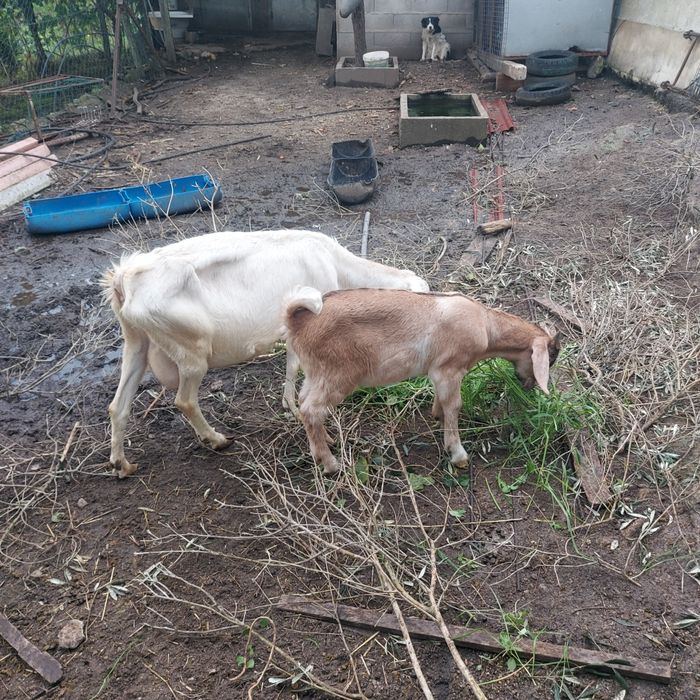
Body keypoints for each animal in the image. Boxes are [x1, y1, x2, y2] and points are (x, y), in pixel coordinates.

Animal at [103, 230, 428, 477]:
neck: (335, 263)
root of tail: (124, 278)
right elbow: (296, 367)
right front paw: (298, 410)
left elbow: (291, 367)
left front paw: (290, 406)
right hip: (191, 351)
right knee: (184, 400)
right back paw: (217, 439)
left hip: (137, 342)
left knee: (118, 406)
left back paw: (122, 464)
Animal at [284, 287, 560, 475]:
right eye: (550, 359)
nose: (529, 387)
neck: (486, 325)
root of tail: (297, 320)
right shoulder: (449, 368)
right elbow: (455, 405)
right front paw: (458, 454)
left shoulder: (440, 370)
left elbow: (443, 400)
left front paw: (437, 415)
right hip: (338, 374)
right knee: (311, 409)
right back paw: (332, 464)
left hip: (316, 373)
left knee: (304, 401)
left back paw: (323, 446)